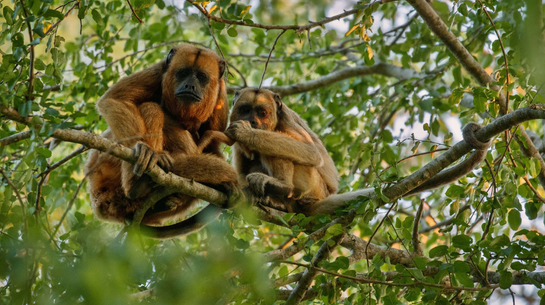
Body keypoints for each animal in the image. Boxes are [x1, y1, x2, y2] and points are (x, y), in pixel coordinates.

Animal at [85, 44, 238, 227]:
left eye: (201, 77)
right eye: (183, 73)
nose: (189, 86)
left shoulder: (221, 92)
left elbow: (212, 145)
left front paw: (225, 185)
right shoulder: (158, 71)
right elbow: (115, 99)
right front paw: (145, 150)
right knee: (152, 108)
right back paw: (138, 182)